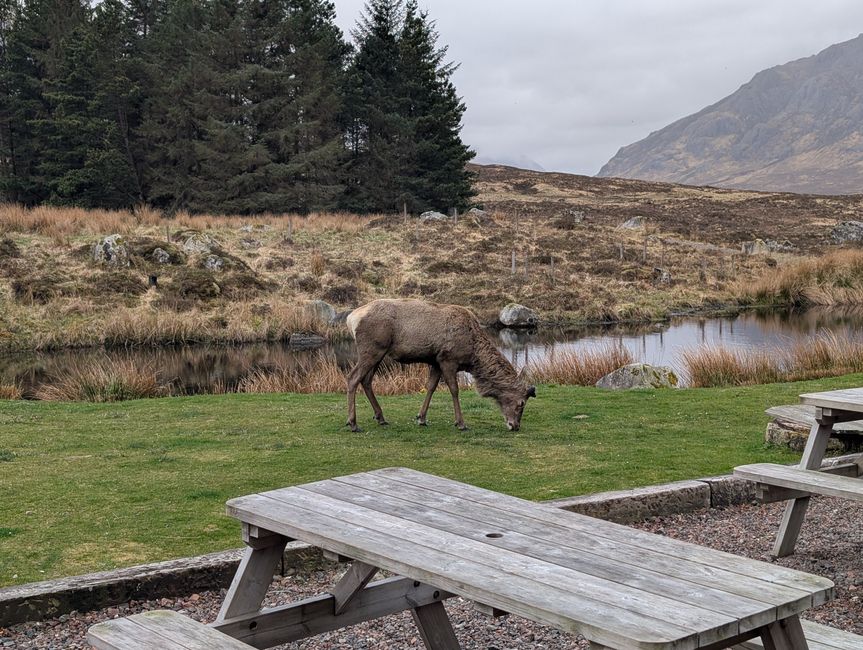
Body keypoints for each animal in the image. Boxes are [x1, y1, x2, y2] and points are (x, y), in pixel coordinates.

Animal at [345, 299, 535, 432]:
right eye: (521, 403)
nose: (515, 426)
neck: (472, 355)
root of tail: (350, 318)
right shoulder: (448, 359)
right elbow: (454, 389)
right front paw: (461, 423)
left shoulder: (435, 361)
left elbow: (431, 386)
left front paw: (421, 418)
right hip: (372, 348)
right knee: (353, 377)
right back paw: (353, 423)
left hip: (378, 352)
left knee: (366, 380)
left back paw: (380, 417)